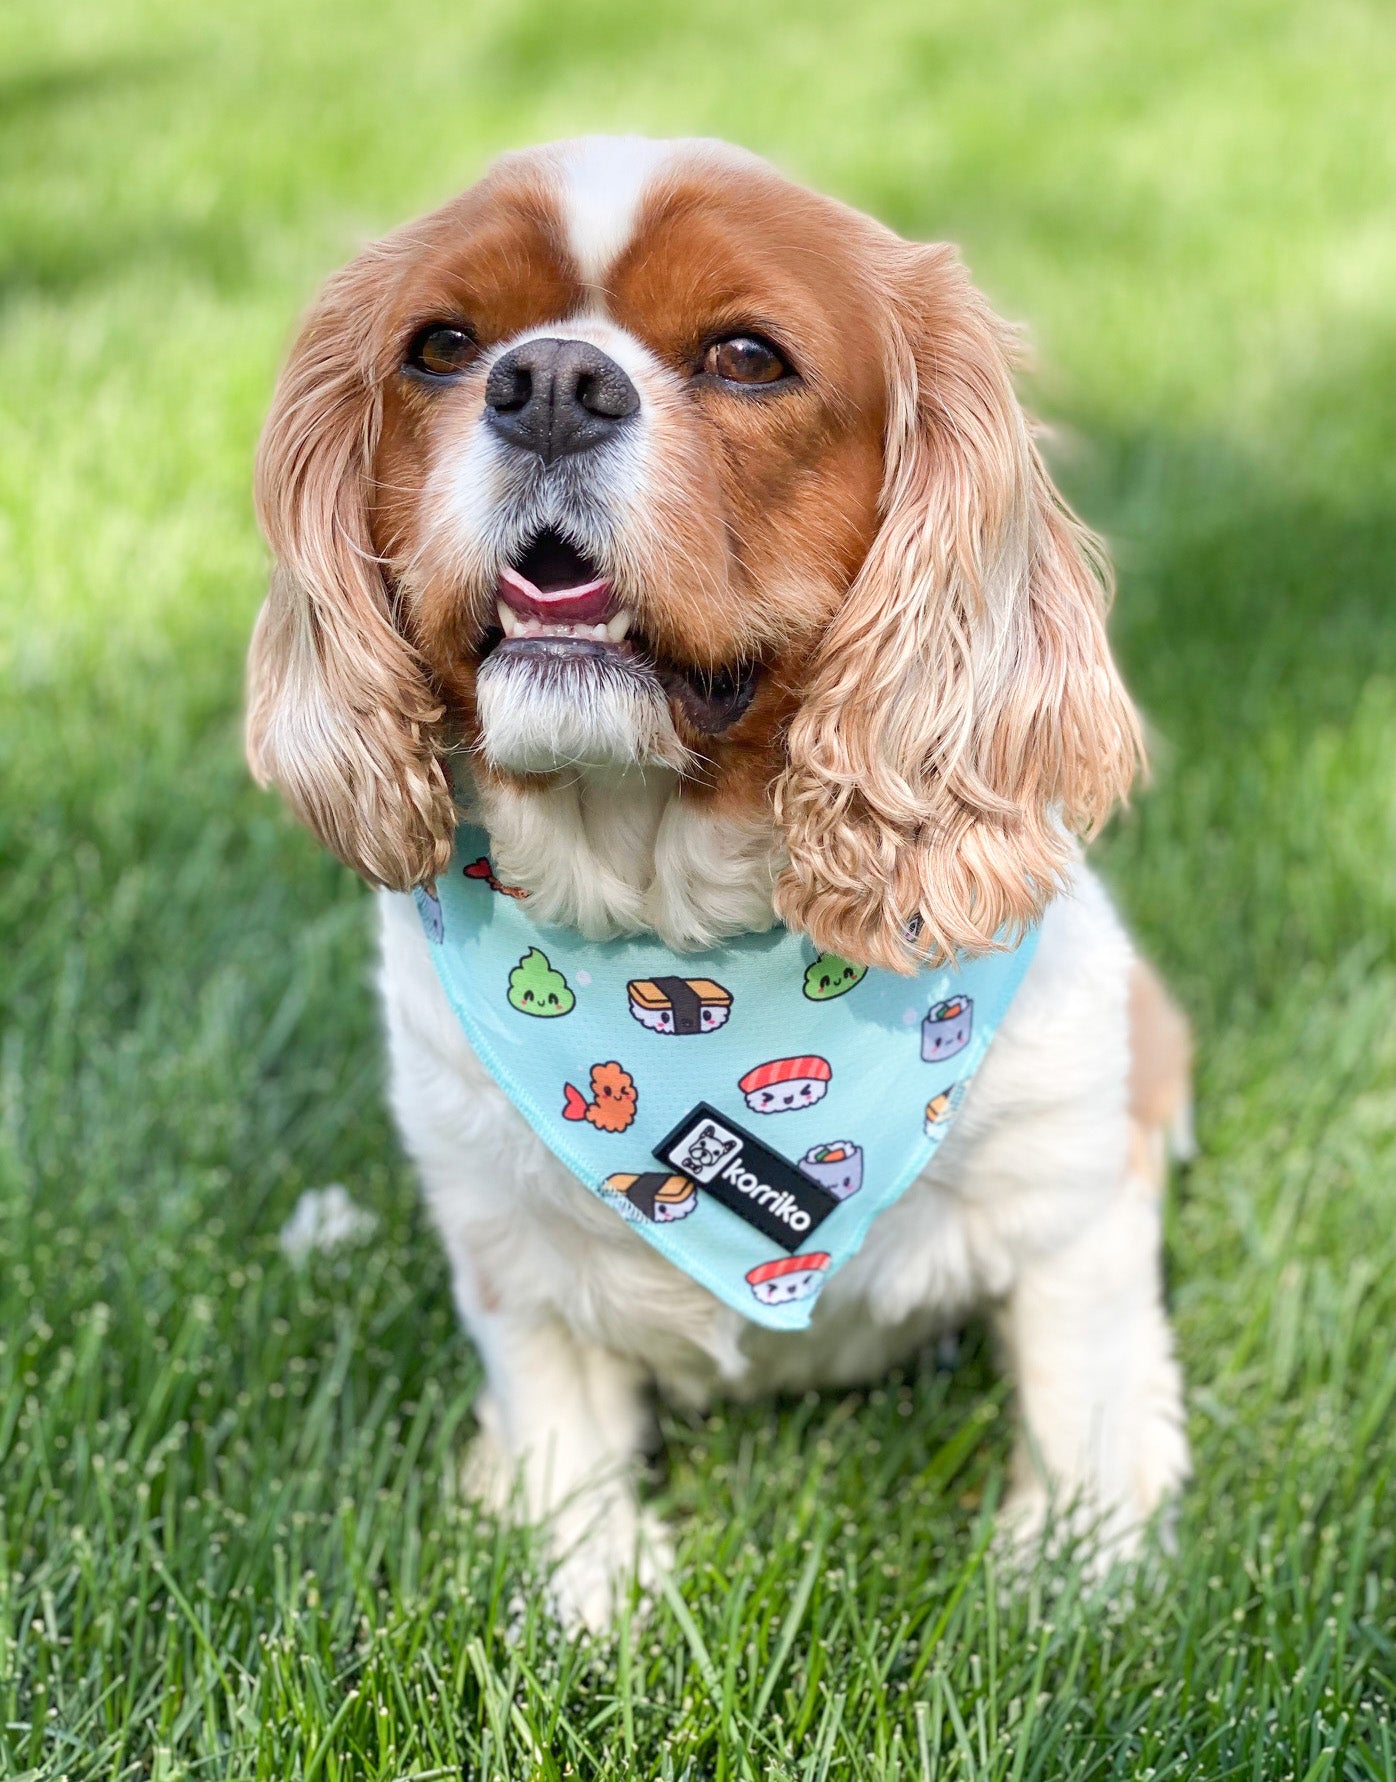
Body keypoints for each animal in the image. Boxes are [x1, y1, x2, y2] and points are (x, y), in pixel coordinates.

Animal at [246, 135, 1198, 1632]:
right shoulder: (505, 1254)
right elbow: (560, 1417)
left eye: (749, 357)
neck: (662, 918)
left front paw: (1075, 1572)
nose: (548, 382)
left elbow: (1082, 1383)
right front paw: (589, 1592)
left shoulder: (1068, 1194)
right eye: (442, 346)